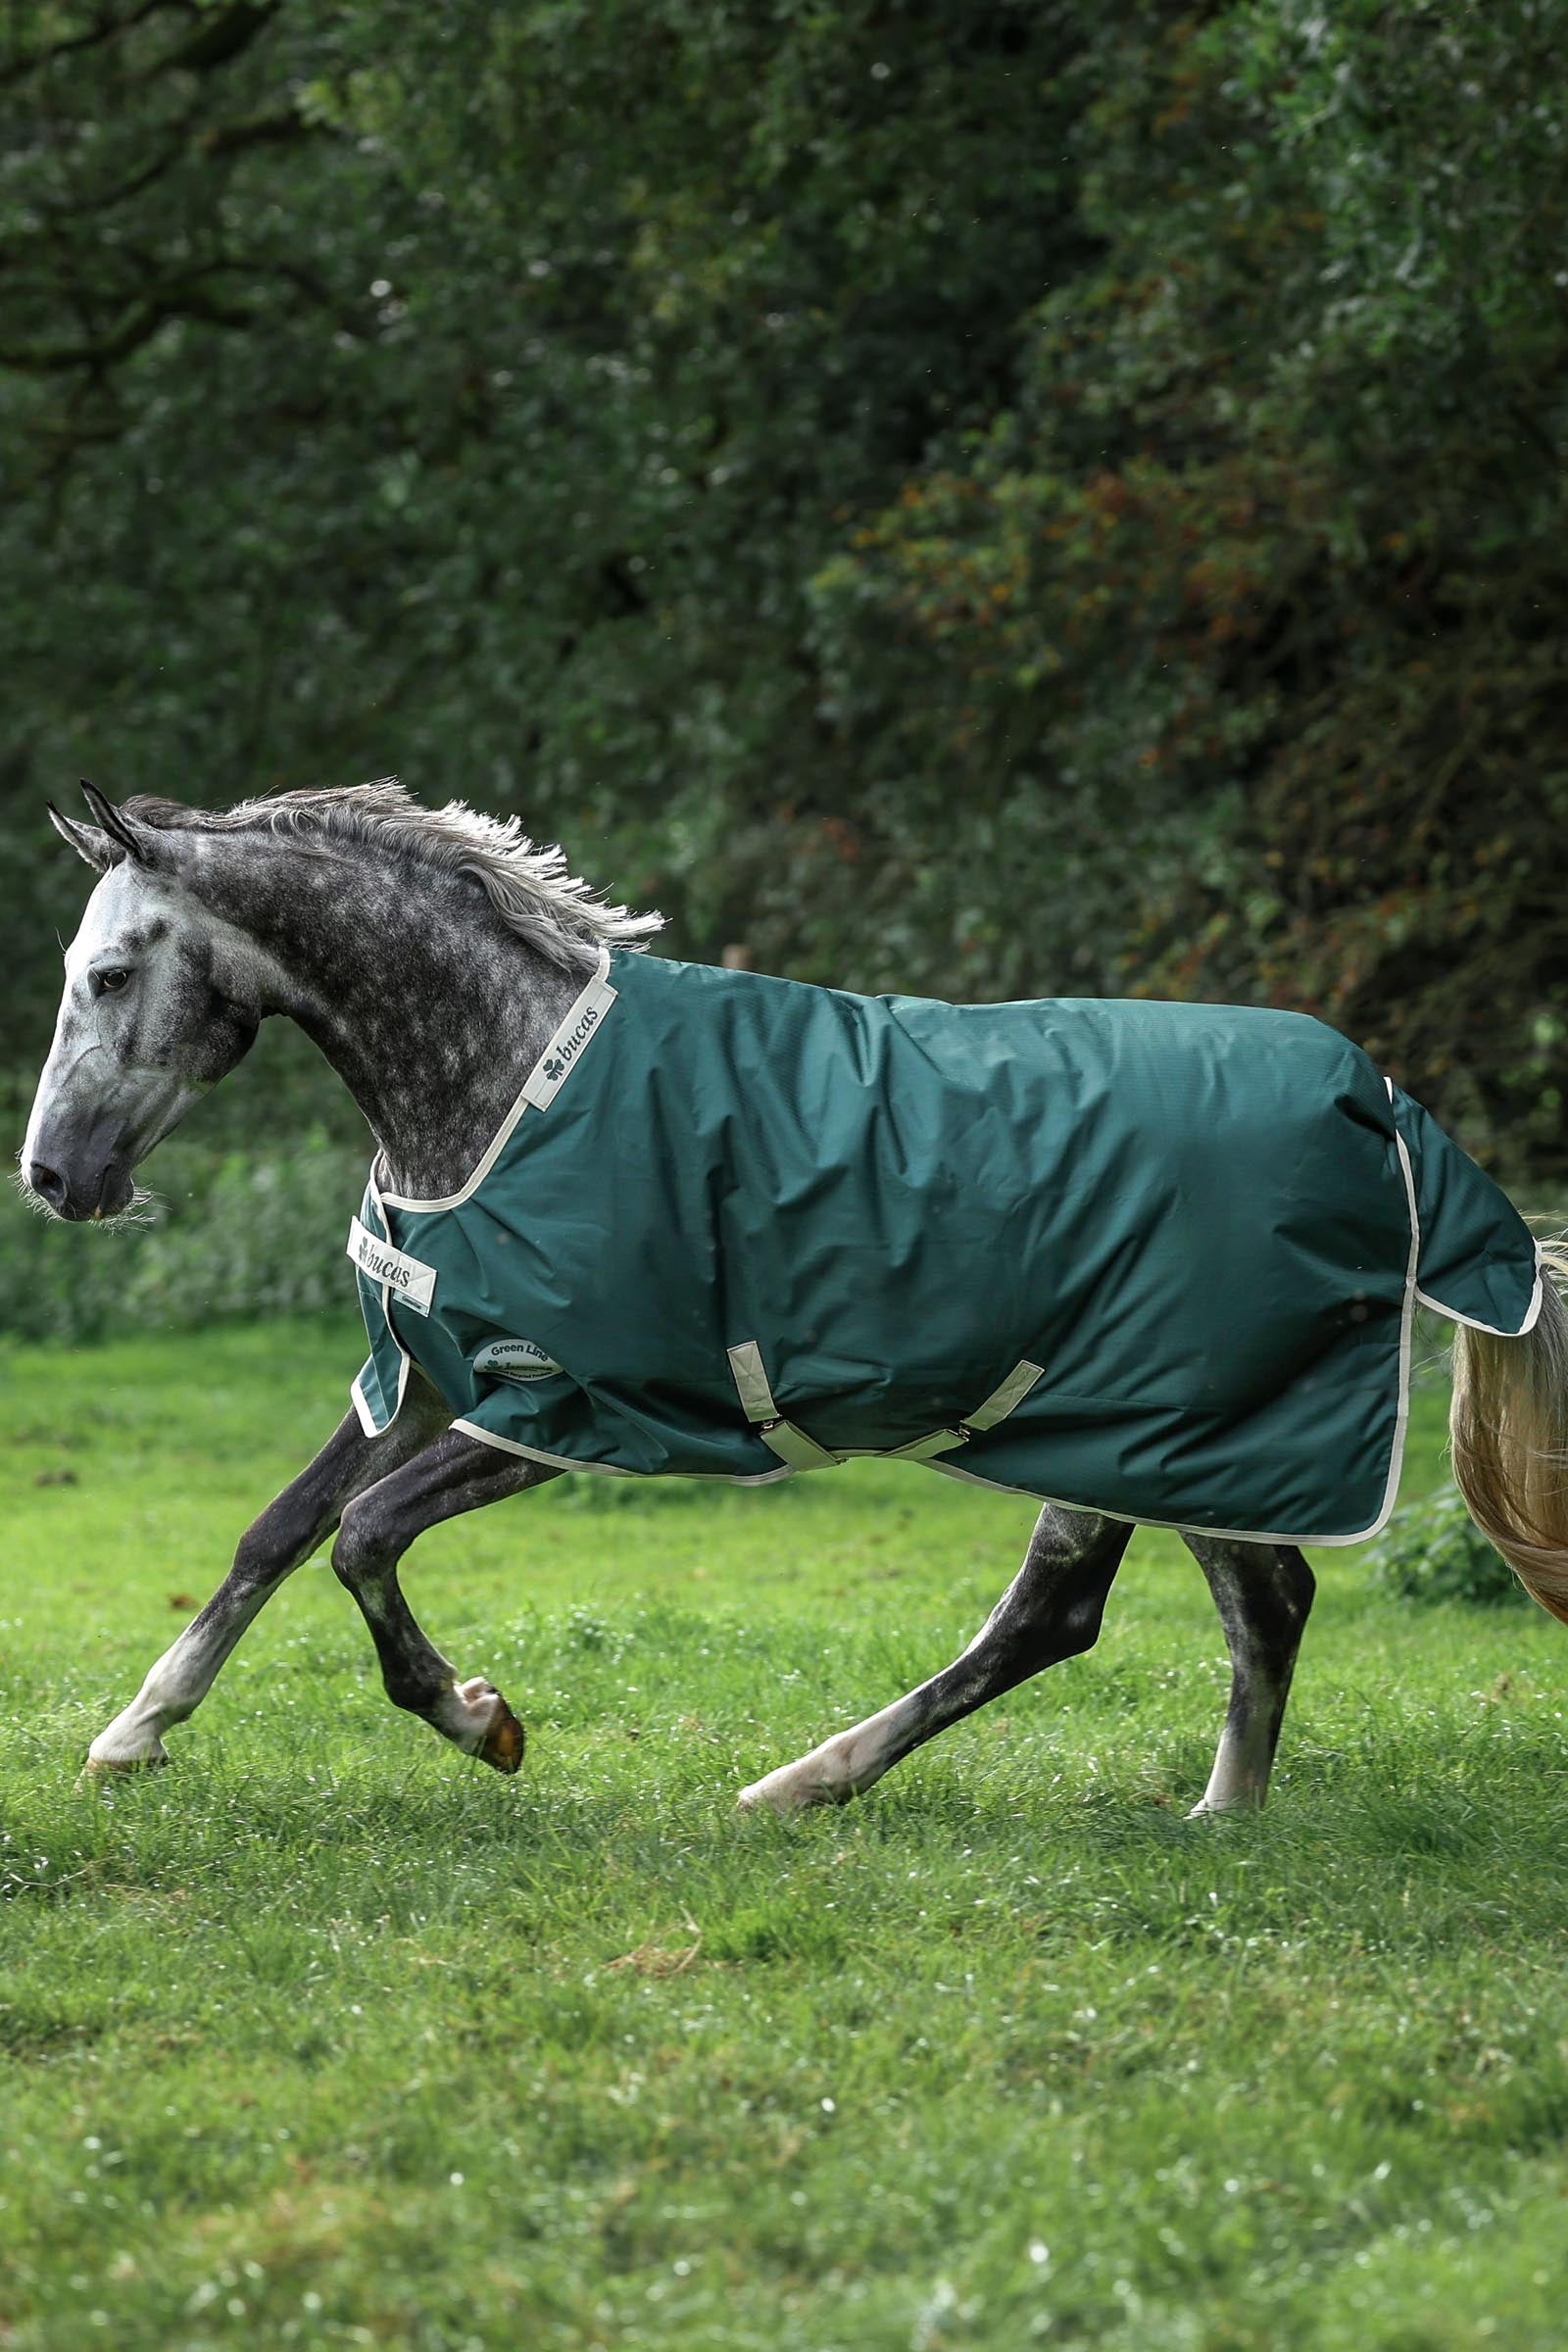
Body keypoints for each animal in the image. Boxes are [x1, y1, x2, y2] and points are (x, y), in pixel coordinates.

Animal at [21, 781, 1568, 1814]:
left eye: (108, 972)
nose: (51, 1175)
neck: (507, 1081)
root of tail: (1381, 1104)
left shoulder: (581, 1412)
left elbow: (363, 1540)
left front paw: (483, 1721)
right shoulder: (436, 1378)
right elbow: (276, 1533)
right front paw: (132, 1733)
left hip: (1154, 1423)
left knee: (1120, 1609)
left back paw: (848, 1785)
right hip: (1150, 1435)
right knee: (1215, 1604)